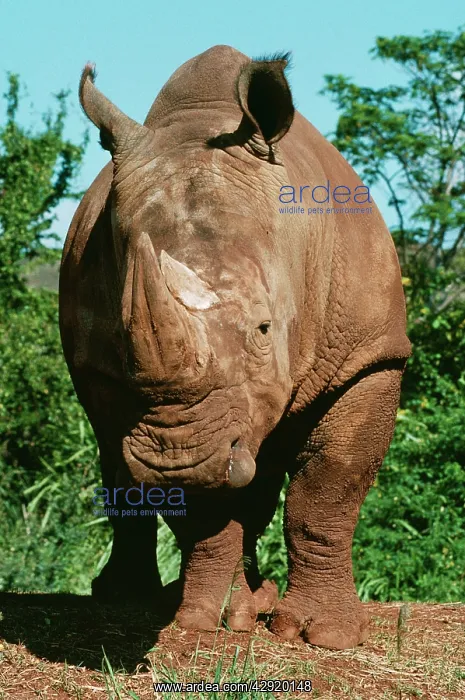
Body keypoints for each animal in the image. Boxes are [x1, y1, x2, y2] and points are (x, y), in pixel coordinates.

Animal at [59, 45, 411, 650]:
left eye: (264, 331)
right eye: (124, 348)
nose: (176, 459)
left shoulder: (369, 354)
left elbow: (329, 487)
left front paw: (323, 635)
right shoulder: (138, 392)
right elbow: (201, 503)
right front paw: (207, 619)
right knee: (118, 459)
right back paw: (138, 598)